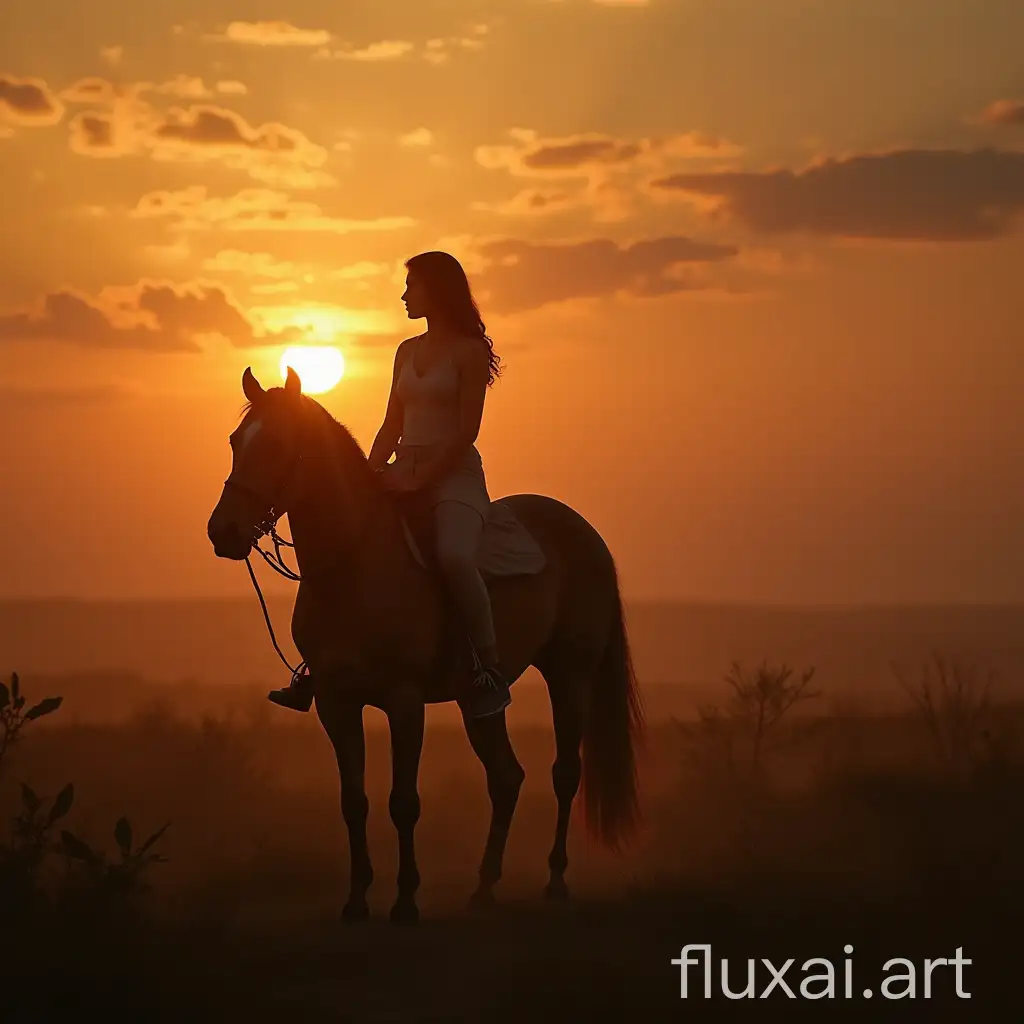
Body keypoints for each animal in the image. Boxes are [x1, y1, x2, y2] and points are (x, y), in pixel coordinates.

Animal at [203, 366, 643, 921]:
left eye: (278, 443)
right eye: (236, 441)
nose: (223, 531)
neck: (354, 563)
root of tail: (584, 532)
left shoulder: (405, 701)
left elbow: (403, 802)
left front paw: (406, 900)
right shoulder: (335, 703)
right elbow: (354, 802)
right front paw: (356, 901)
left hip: (570, 674)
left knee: (565, 772)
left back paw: (556, 881)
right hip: (480, 702)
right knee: (506, 778)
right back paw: (483, 888)